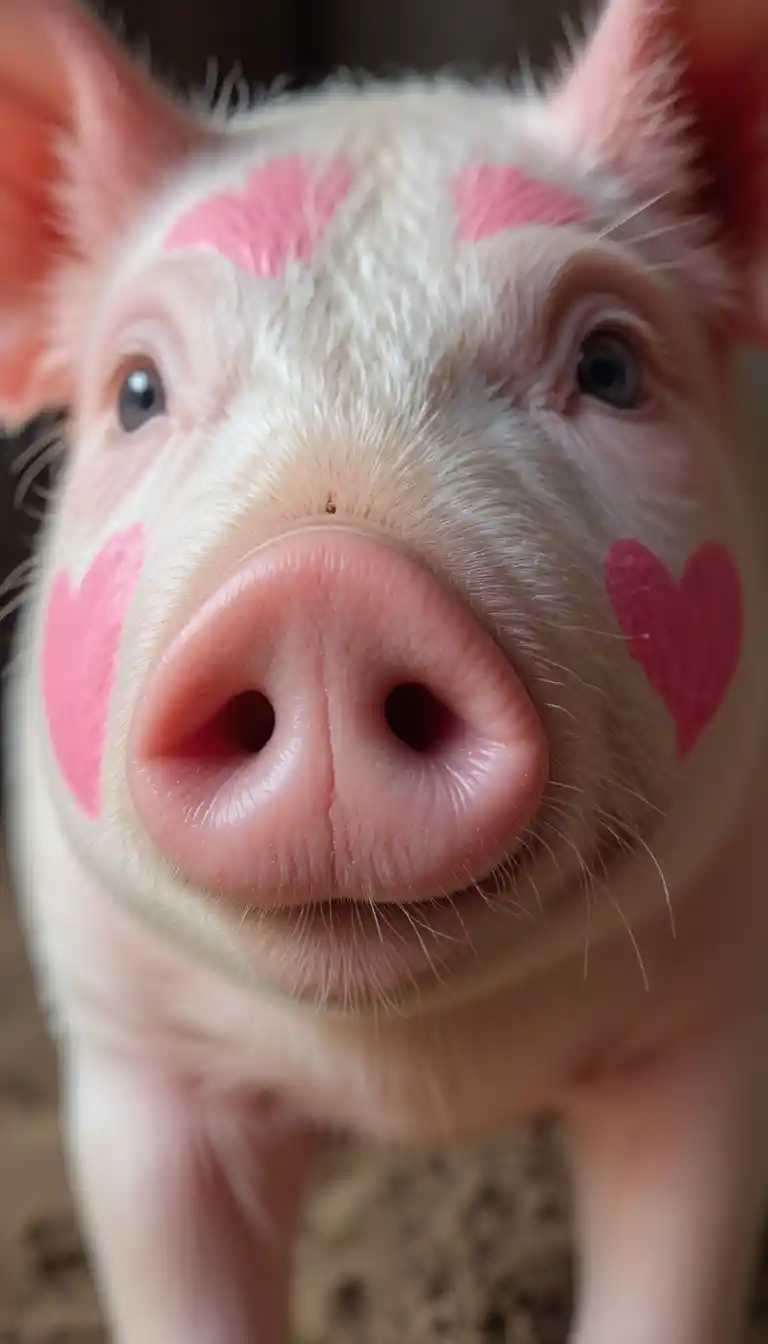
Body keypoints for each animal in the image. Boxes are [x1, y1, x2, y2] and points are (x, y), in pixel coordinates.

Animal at [2, 0, 768, 1338]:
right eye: (138, 391)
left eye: (610, 367)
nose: (324, 591)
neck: (411, 1071)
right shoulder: (131, 1056)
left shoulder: (712, 1020)